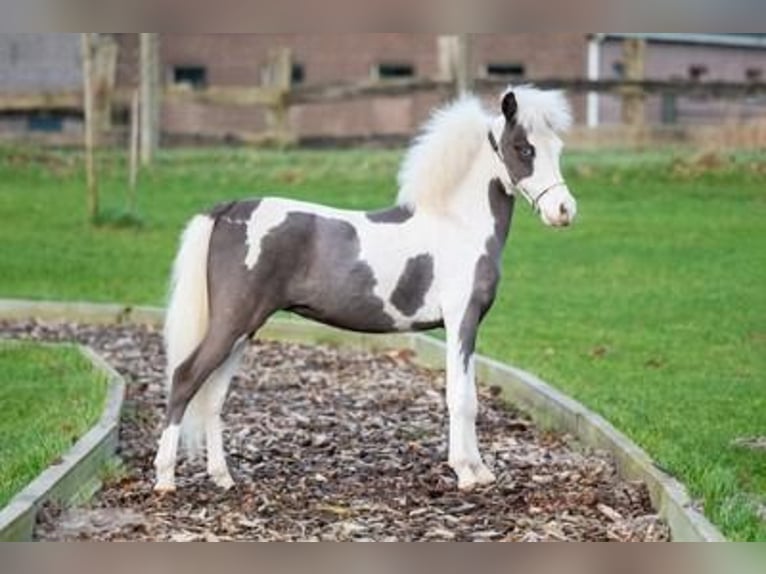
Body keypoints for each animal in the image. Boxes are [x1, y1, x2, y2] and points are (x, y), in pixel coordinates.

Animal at [154, 85, 576, 496]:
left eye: (557, 147)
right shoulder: (461, 320)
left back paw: (222, 477)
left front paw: (481, 471)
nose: (564, 210)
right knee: (185, 379)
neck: (457, 224)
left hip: (244, 328)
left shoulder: (468, 326)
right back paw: (165, 479)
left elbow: (469, 395)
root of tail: (229, 210)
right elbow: (460, 398)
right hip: (232, 322)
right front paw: (465, 473)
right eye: (523, 148)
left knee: (213, 395)